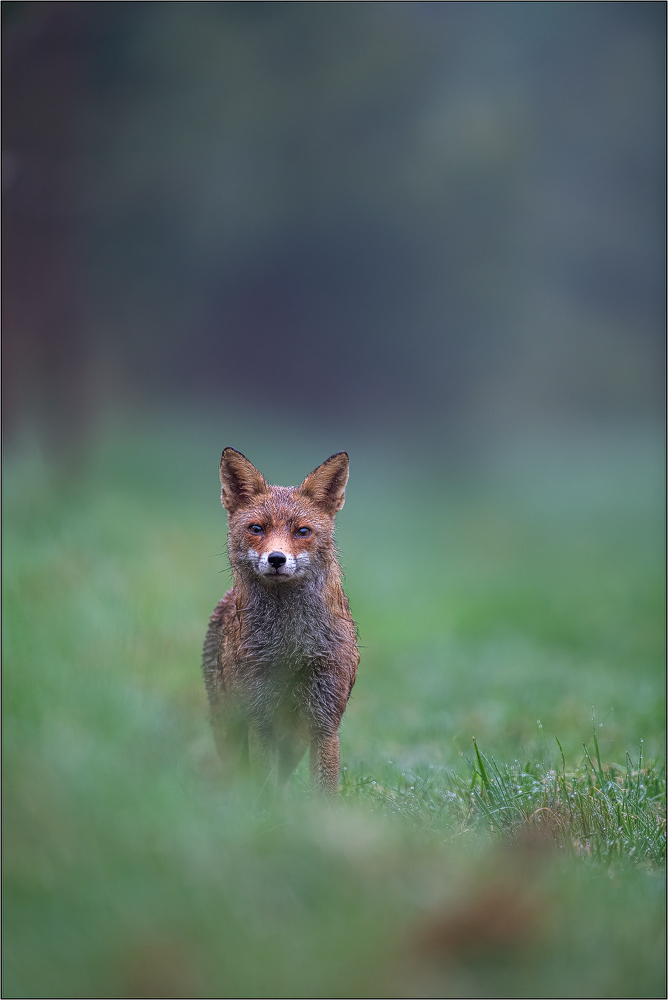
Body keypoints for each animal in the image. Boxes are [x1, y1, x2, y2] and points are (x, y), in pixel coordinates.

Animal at [202, 450, 360, 792]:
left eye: (302, 531)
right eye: (256, 529)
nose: (276, 559)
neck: (291, 646)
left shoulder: (325, 721)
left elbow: (323, 789)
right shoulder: (259, 717)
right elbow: (264, 784)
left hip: (294, 742)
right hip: (229, 723)